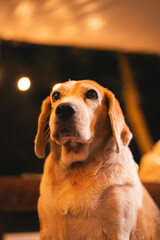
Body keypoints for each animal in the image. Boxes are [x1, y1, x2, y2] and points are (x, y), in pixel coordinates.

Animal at [34, 80, 159, 240]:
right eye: (55, 95)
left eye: (92, 94)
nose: (64, 109)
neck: (76, 168)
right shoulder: (47, 232)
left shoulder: (117, 231)